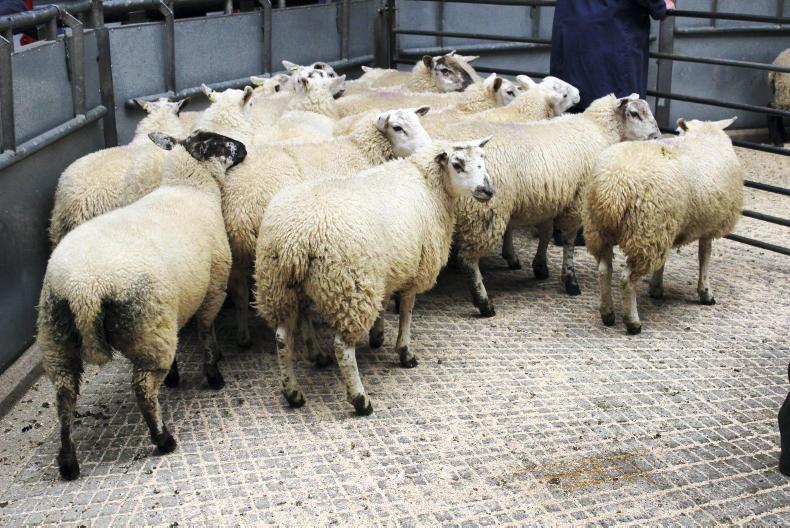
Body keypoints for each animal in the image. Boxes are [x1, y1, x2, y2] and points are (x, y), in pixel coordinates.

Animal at [37, 130, 247, 480]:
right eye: (218, 143)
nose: (244, 147)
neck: (189, 187)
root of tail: (83, 289)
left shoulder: (173, 309)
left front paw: (176, 375)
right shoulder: (213, 288)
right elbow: (206, 331)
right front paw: (213, 373)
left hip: (59, 336)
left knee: (64, 397)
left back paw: (68, 463)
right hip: (146, 323)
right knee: (143, 389)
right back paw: (163, 439)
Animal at [224, 107, 432, 348]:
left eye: (418, 121)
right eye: (398, 128)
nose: (428, 148)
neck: (361, 150)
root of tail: (239, 211)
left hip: (241, 252)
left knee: (240, 293)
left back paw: (243, 336)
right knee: (299, 306)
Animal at [254, 136, 493, 415]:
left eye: (483, 158)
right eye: (457, 164)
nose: (488, 190)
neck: (429, 184)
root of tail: (295, 241)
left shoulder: (388, 269)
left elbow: (385, 301)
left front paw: (378, 335)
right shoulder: (415, 268)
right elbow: (407, 310)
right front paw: (405, 352)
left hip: (278, 287)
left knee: (282, 339)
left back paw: (293, 393)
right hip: (349, 287)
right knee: (342, 347)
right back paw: (360, 400)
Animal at [428, 94, 660, 316]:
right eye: (634, 114)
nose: (657, 138)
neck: (599, 131)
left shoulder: (547, 199)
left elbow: (547, 233)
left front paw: (540, 266)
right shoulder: (576, 200)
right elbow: (568, 240)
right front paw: (570, 280)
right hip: (485, 210)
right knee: (467, 259)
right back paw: (484, 303)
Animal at [583, 117, 743, 335]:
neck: (703, 136)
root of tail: (612, 190)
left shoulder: (669, 228)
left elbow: (665, 262)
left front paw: (656, 288)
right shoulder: (707, 226)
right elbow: (705, 257)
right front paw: (705, 293)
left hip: (603, 230)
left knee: (603, 270)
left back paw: (607, 314)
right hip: (644, 231)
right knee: (626, 279)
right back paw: (633, 323)